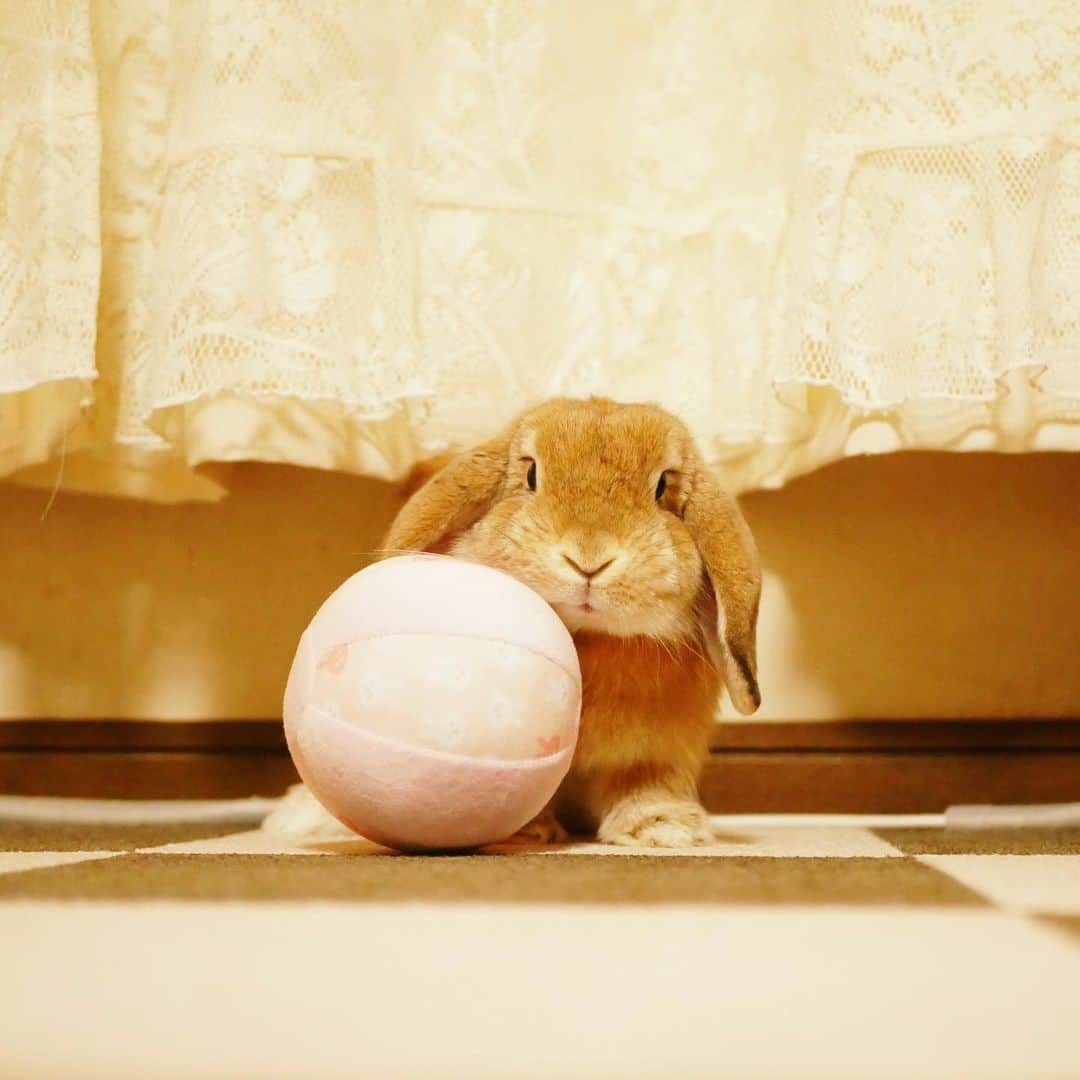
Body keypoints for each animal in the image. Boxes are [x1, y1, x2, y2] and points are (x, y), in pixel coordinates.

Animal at [264, 397, 760, 848]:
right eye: (531, 475)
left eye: (661, 488)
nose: (589, 557)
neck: (588, 639)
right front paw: (529, 831)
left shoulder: (658, 749)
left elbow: (646, 781)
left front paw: (663, 830)